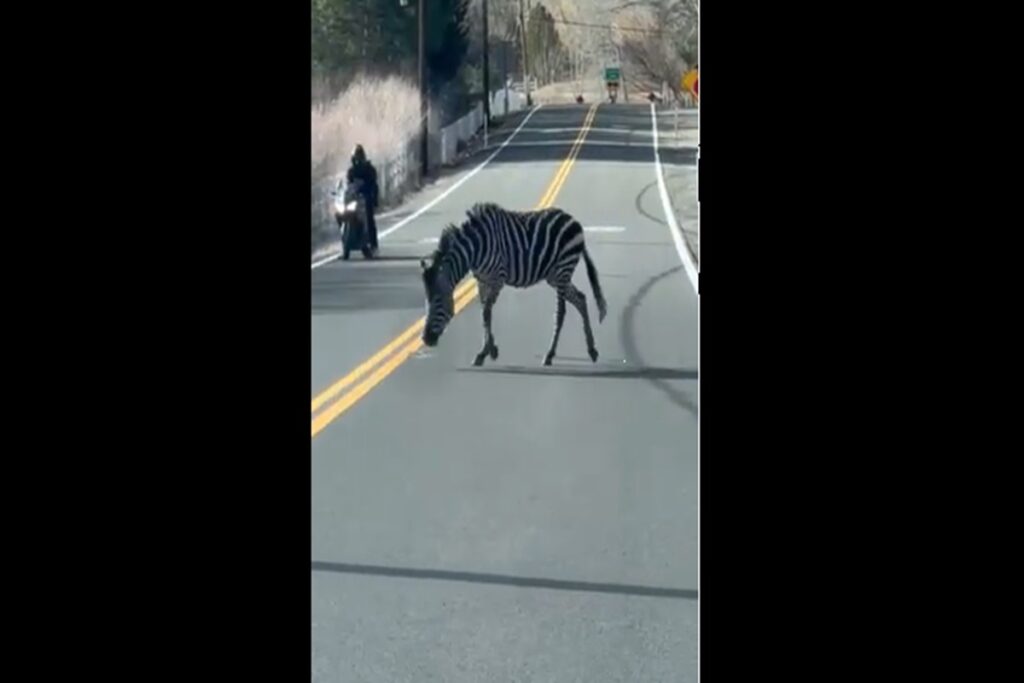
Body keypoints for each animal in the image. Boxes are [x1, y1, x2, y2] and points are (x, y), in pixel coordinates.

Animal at [419, 202, 608, 367]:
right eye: (426, 300)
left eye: (438, 300)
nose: (426, 339)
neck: (475, 249)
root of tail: (574, 221)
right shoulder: (482, 281)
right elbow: (484, 313)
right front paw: (488, 350)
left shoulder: (497, 279)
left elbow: (486, 313)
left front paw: (487, 352)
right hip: (555, 275)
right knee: (580, 299)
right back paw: (592, 350)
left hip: (563, 270)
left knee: (561, 312)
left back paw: (549, 355)